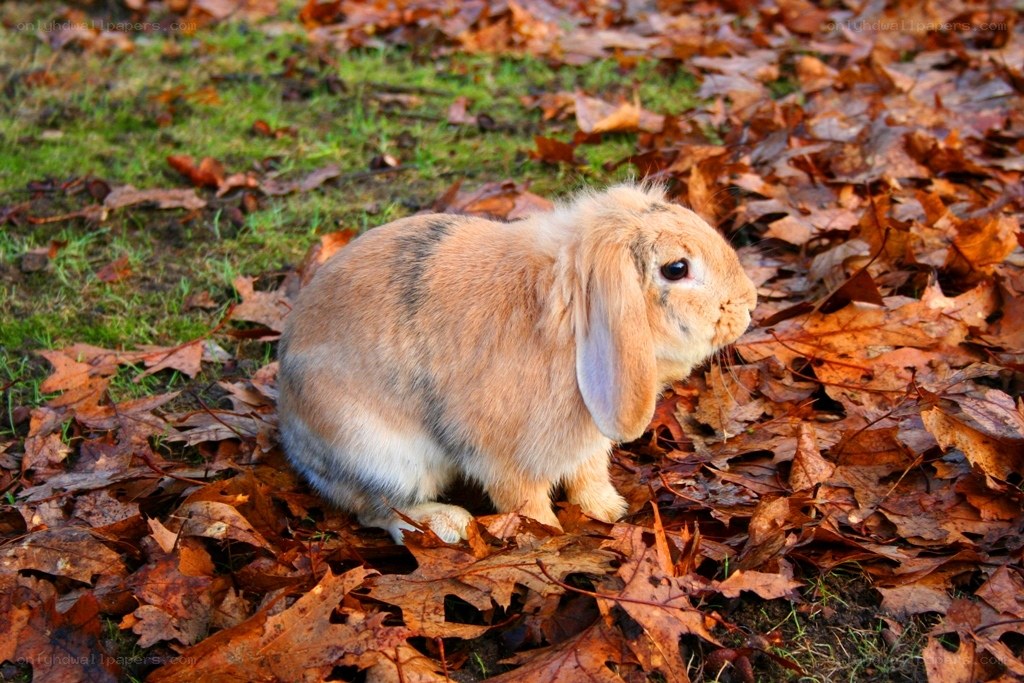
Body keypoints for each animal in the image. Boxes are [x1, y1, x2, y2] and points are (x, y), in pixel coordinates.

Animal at [277, 183, 757, 543]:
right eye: (677, 268)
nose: (750, 303)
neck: (572, 329)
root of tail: (293, 439)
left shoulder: (586, 446)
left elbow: (589, 477)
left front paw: (610, 512)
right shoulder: (506, 459)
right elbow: (525, 503)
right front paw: (547, 535)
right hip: (383, 454)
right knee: (376, 508)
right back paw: (449, 524)